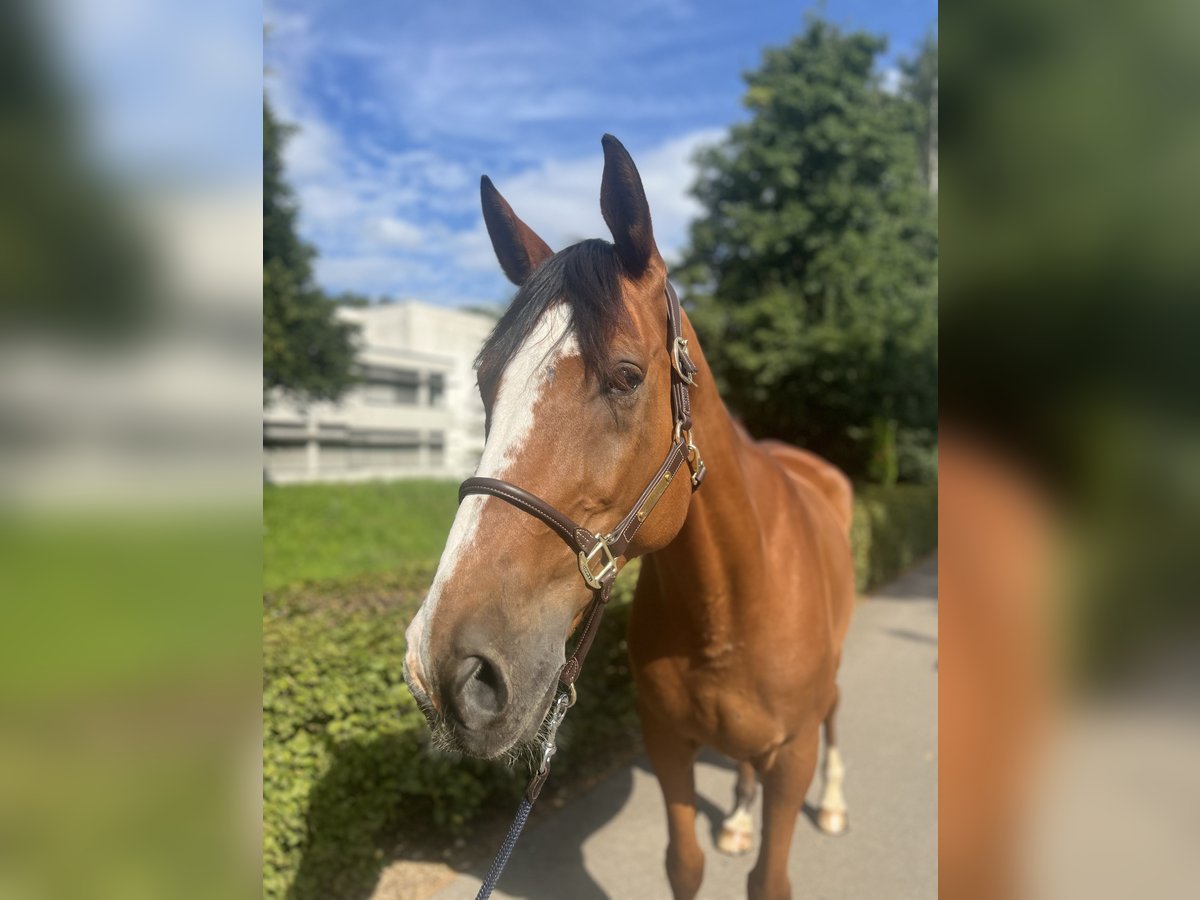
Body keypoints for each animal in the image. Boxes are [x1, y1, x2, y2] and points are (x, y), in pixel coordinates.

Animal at [408, 135, 859, 900]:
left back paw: (832, 802)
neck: (729, 610)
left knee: (834, 717)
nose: (447, 668)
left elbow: (769, 878)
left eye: (626, 376)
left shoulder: (790, 754)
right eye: (484, 384)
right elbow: (685, 863)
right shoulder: (667, 743)